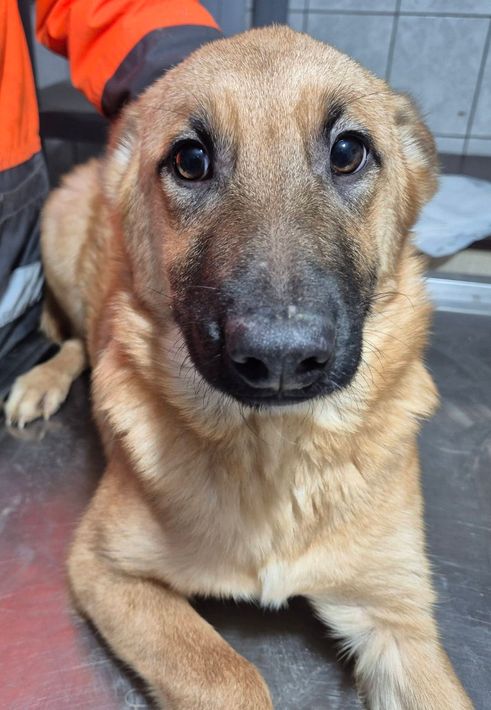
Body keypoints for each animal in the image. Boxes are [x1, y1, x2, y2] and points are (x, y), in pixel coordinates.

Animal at [5, 26, 473, 709]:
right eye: (190, 160)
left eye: (348, 152)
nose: (281, 357)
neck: (274, 455)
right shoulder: (104, 567)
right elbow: (228, 675)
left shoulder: (397, 620)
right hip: (58, 232)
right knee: (73, 341)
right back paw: (41, 380)